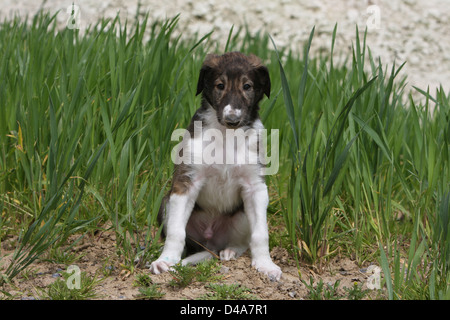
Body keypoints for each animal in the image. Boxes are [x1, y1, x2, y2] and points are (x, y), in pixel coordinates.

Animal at [151, 52, 284, 280]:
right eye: (220, 85)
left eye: (247, 86)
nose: (232, 119)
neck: (226, 135)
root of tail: (211, 241)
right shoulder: (186, 183)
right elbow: (176, 231)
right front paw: (166, 261)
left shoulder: (255, 188)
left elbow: (261, 233)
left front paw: (265, 265)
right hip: (166, 204)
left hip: (241, 215)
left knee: (242, 242)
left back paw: (230, 251)